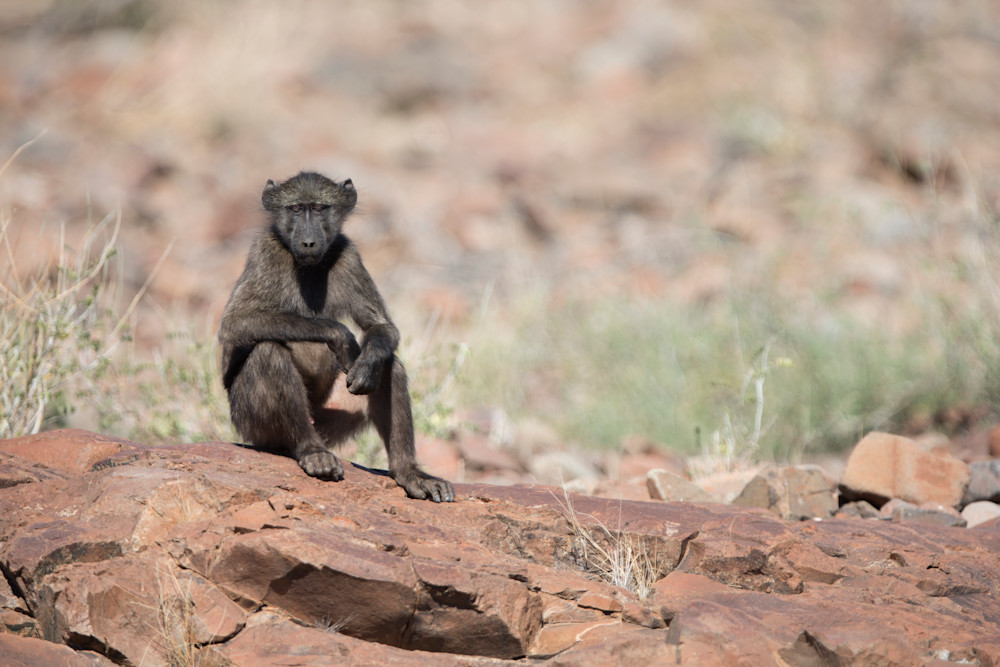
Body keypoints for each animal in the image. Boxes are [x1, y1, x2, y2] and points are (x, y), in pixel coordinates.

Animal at [218, 172, 455, 503]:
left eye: (320, 208)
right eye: (296, 209)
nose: (308, 241)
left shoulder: (348, 255)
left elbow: (381, 328)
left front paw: (366, 362)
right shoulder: (264, 252)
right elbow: (236, 323)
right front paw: (341, 336)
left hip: (329, 420)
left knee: (390, 365)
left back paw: (408, 472)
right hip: (252, 426)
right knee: (268, 352)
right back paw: (311, 451)